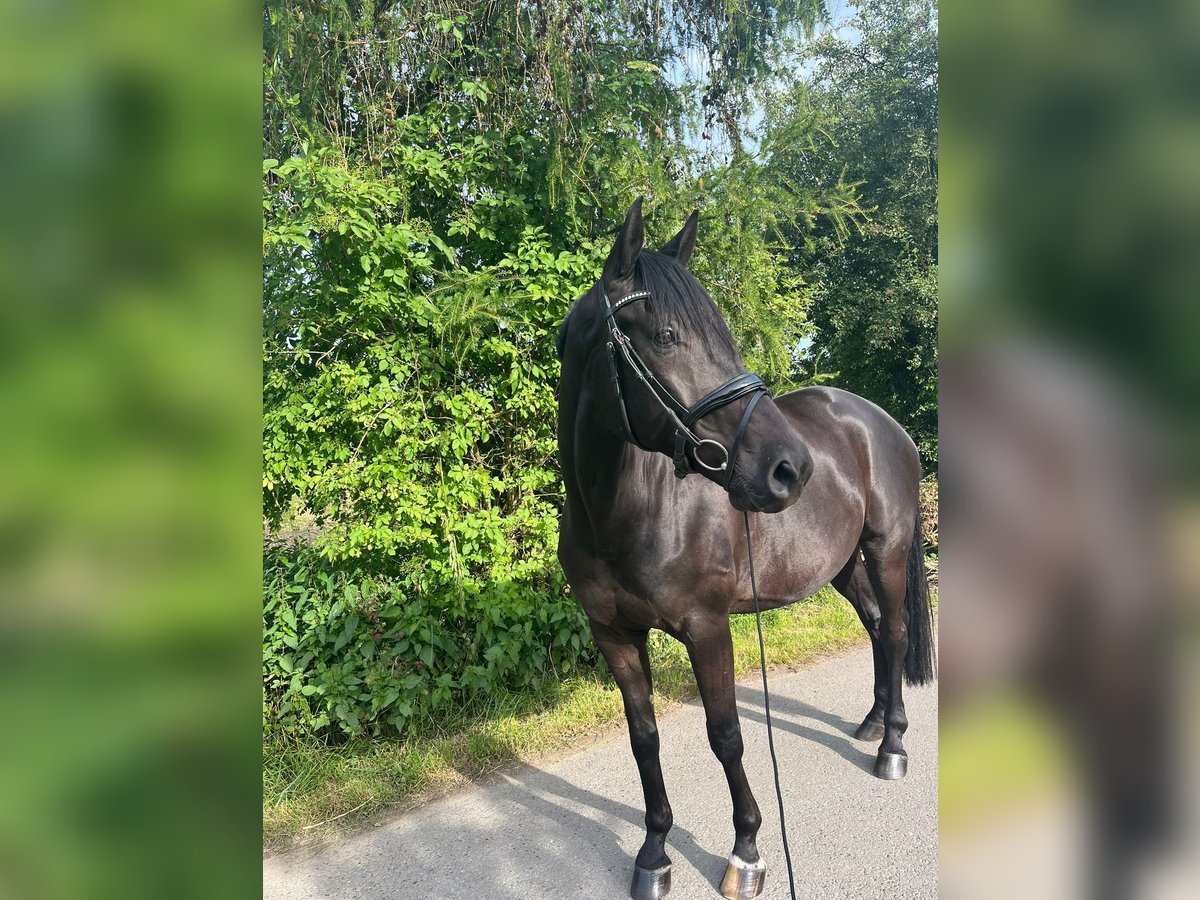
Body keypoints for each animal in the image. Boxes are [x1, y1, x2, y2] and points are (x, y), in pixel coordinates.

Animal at [554, 200, 936, 897]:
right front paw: (654, 852)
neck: (625, 513)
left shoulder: (708, 629)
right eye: (666, 337)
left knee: (894, 633)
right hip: (842, 567)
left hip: (887, 551)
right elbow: (643, 739)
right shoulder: (613, 634)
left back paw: (892, 748)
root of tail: (885, 424)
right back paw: (872, 721)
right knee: (875, 628)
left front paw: (748, 850)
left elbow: (726, 735)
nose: (793, 469)